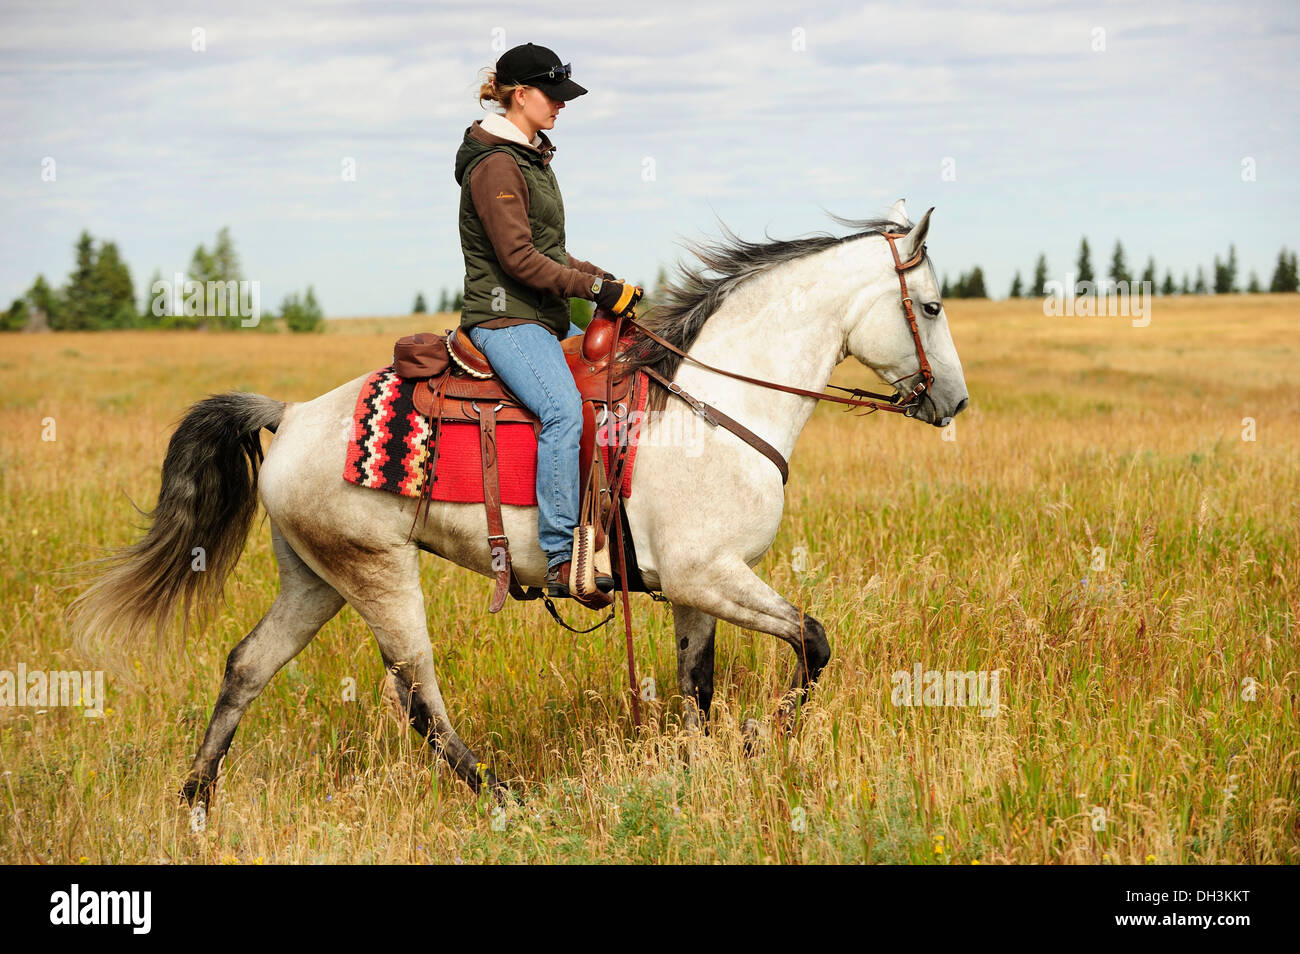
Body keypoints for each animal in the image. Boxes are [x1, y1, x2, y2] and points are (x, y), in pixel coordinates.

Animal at [71, 200, 967, 805]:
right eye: (929, 306)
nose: (953, 401)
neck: (708, 404)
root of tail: (289, 416)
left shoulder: (693, 587)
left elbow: (698, 687)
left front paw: (705, 762)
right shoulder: (708, 575)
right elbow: (813, 641)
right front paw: (762, 740)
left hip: (315, 577)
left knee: (247, 665)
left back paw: (197, 801)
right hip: (377, 573)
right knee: (417, 695)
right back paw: (500, 795)